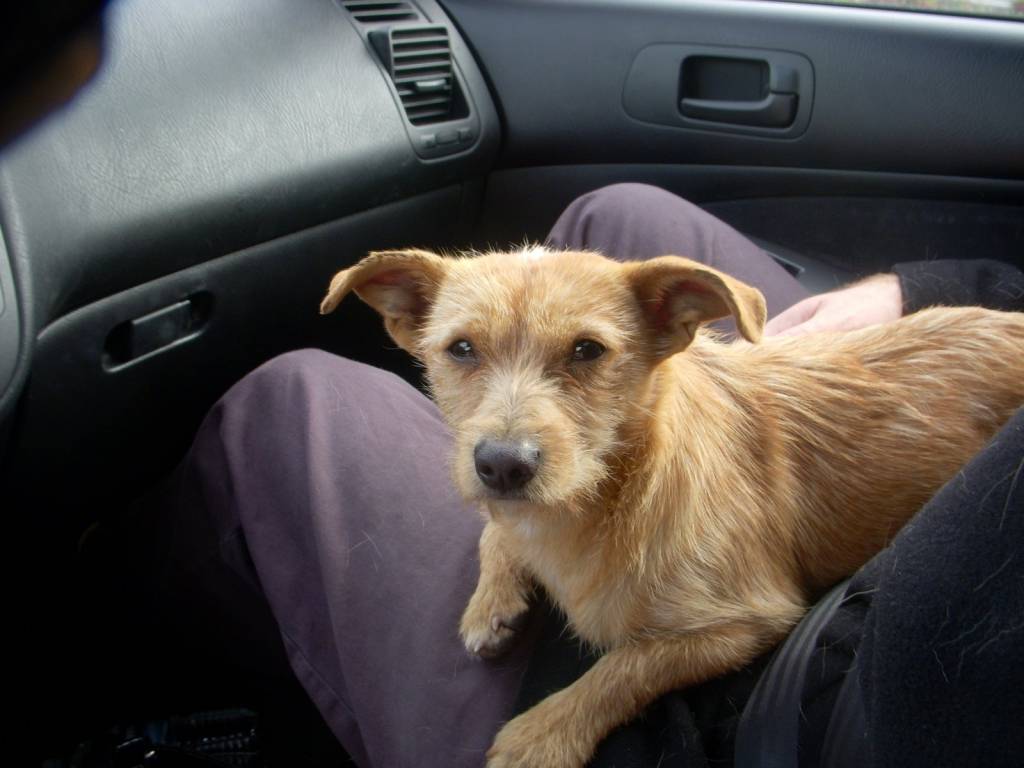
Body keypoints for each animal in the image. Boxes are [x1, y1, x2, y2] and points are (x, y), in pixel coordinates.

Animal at [321, 246, 1024, 768]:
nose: (502, 465)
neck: (603, 493)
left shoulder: (753, 618)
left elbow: (627, 665)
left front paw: (541, 735)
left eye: (588, 350)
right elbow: (495, 532)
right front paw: (491, 599)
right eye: (461, 349)